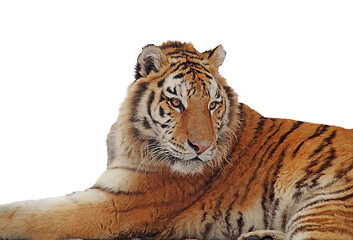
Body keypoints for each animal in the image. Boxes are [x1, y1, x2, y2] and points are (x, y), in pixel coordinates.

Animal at [0, 41, 350, 240]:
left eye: (213, 104)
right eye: (176, 103)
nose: (202, 148)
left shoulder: (118, 203)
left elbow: (31, 214)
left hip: (324, 206)